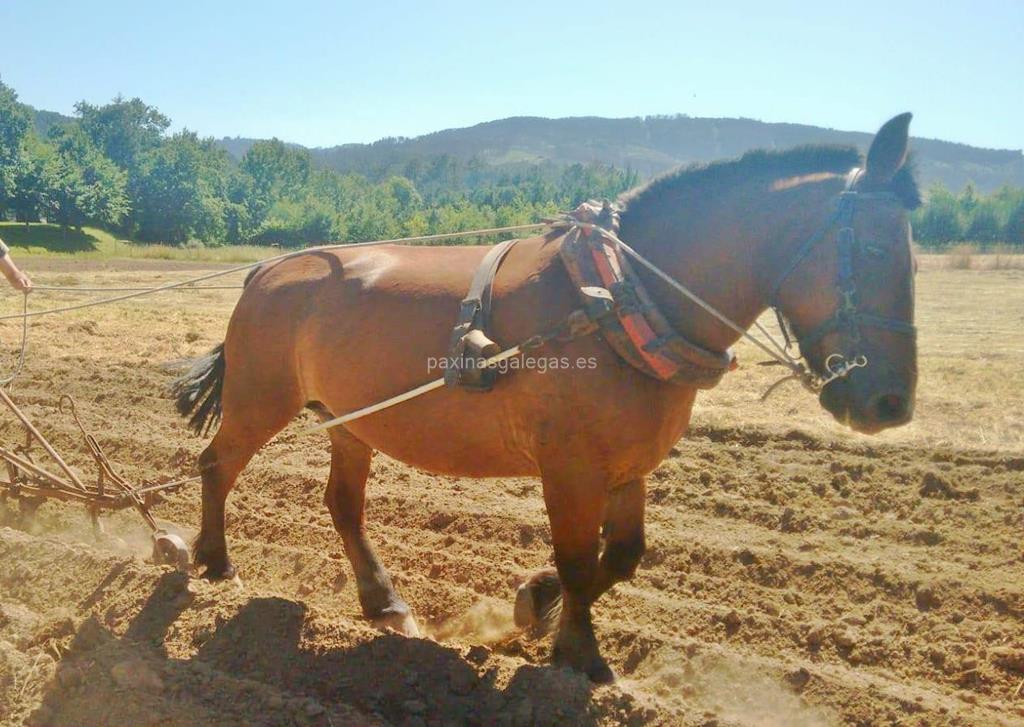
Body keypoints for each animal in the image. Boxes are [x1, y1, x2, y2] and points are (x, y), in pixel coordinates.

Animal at [174, 112, 921, 683]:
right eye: (878, 249)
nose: (892, 404)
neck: (617, 298)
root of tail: (267, 269)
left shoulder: (627, 465)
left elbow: (620, 557)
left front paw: (535, 604)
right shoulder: (571, 467)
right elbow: (579, 559)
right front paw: (577, 652)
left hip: (348, 419)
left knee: (343, 506)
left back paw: (383, 601)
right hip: (261, 400)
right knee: (217, 465)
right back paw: (213, 561)